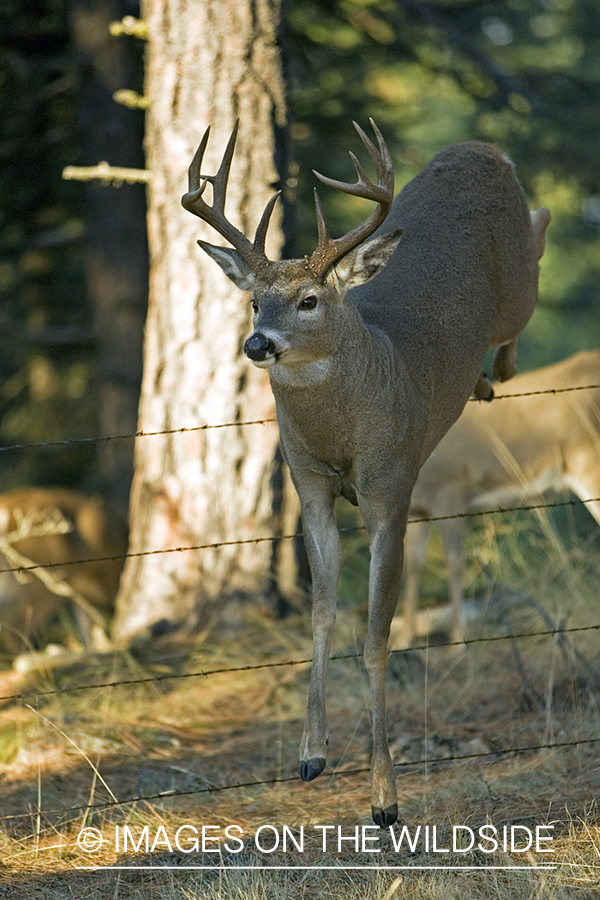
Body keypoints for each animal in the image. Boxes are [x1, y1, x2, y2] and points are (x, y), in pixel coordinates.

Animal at [180, 123, 552, 828]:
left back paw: (499, 369)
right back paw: (484, 380)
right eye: (253, 301)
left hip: (518, 290)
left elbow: (380, 634)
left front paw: (385, 797)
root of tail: (485, 149)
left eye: (308, 300)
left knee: (540, 238)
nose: (257, 344)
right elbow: (324, 613)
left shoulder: (393, 486)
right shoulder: (309, 486)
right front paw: (311, 755)